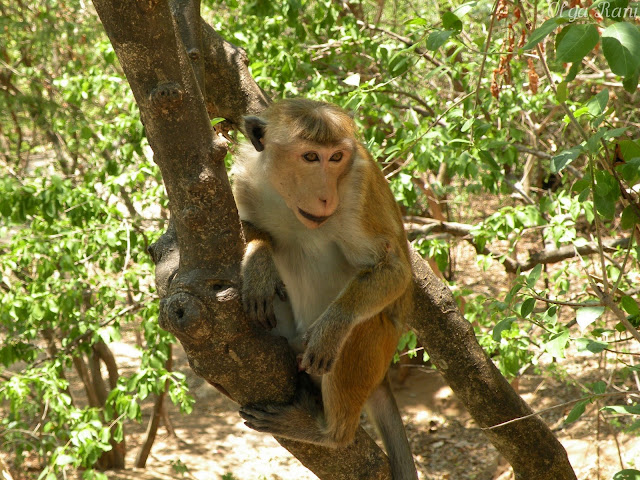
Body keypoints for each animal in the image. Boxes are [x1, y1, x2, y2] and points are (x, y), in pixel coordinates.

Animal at [232, 98, 418, 480]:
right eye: (310, 157)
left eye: (336, 158)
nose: (325, 196)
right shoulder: (245, 178)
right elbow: (249, 225)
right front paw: (260, 264)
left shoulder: (357, 189)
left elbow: (393, 270)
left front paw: (332, 327)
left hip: (377, 346)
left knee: (357, 331)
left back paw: (329, 432)